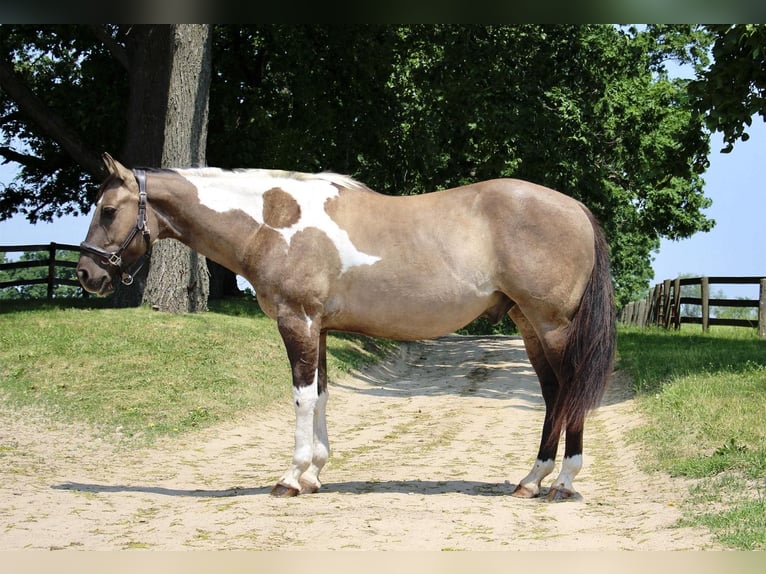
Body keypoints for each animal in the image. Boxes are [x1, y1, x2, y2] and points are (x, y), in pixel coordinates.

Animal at [78, 153, 616, 504]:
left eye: (108, 210)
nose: (87, 275)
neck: (272, 220)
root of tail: (576, 209)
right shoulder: (317, 328)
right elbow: (320, 395)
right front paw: (315, 473)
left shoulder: (297, 320)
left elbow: (301, 397)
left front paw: (291, 477)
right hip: (528, 325)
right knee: (554, 396)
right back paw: (532, 480)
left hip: (552, 327)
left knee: (569, 392)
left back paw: (562, 483)